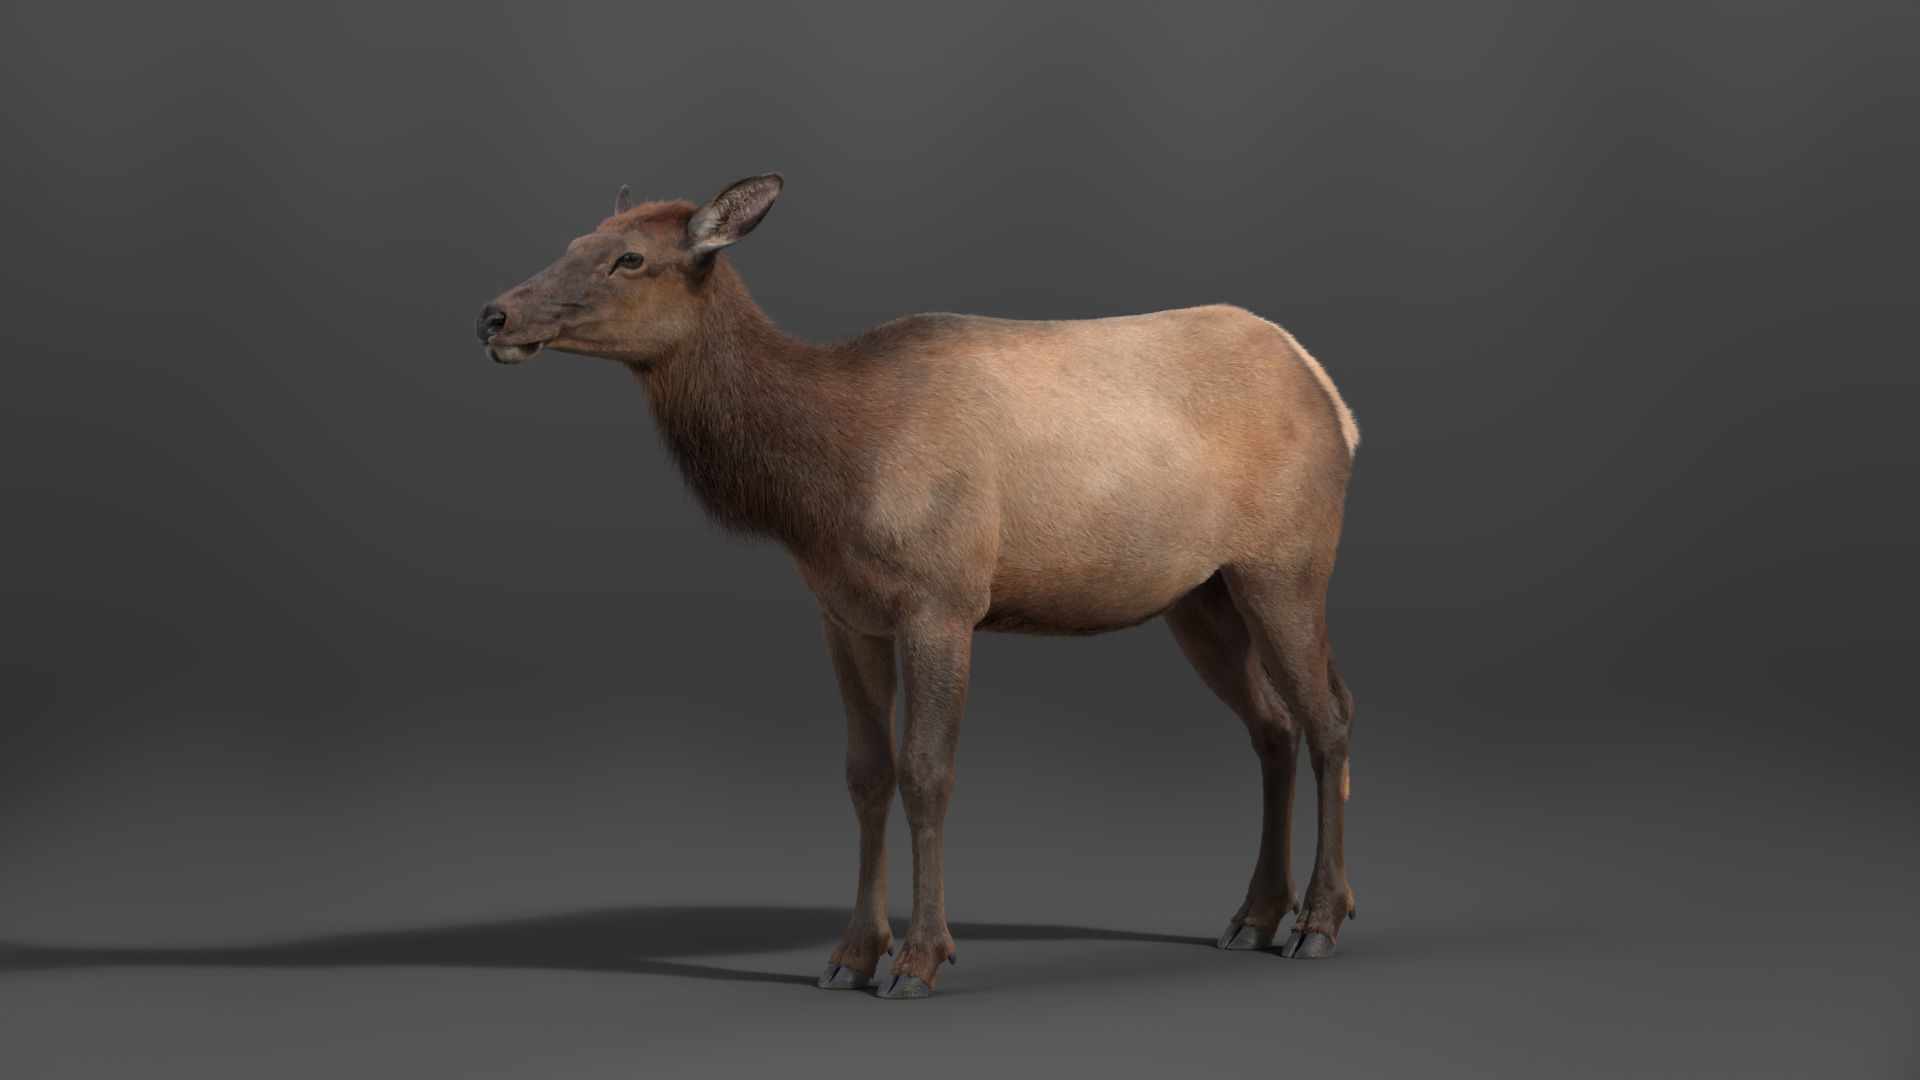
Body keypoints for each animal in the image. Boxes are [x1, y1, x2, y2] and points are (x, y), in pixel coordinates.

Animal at [475, 174, 1361, 1000]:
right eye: (576, 240)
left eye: (631, 259)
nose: (493, 315)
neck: (820, 484)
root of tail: (1335, 399)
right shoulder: (844, 613)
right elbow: (865, 774)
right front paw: (850, 955)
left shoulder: (944, 599)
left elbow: (927, 772)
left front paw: (920, 959)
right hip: (1201, 595)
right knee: (1273, 725)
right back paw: (1254, 914)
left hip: (1288, 562)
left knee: (1329, 716)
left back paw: (1319, 920)